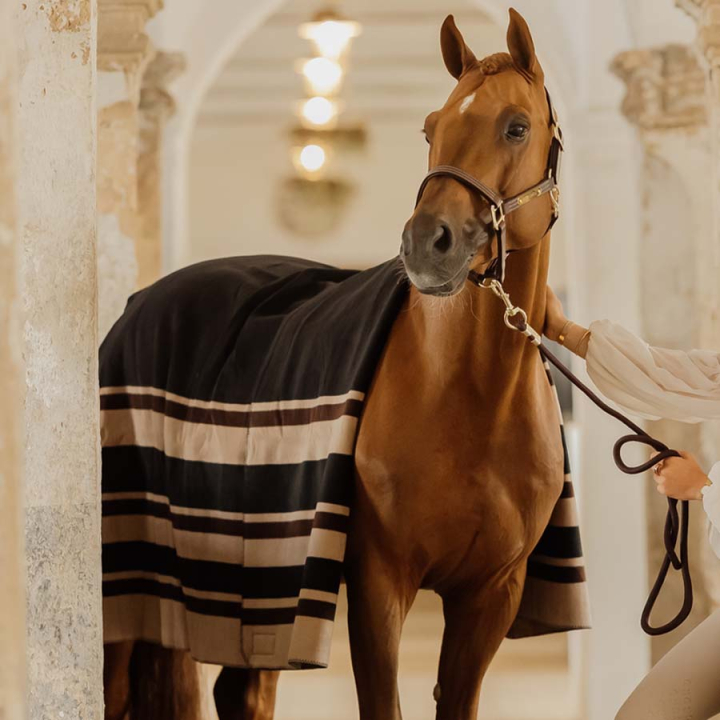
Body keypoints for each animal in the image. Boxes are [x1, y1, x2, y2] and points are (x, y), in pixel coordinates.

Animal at [103, 9, 587, 720]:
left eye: (516, 126)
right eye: (431, 128)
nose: (427, 244)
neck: (470, 399)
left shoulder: (490, 595)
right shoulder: (378, 582)